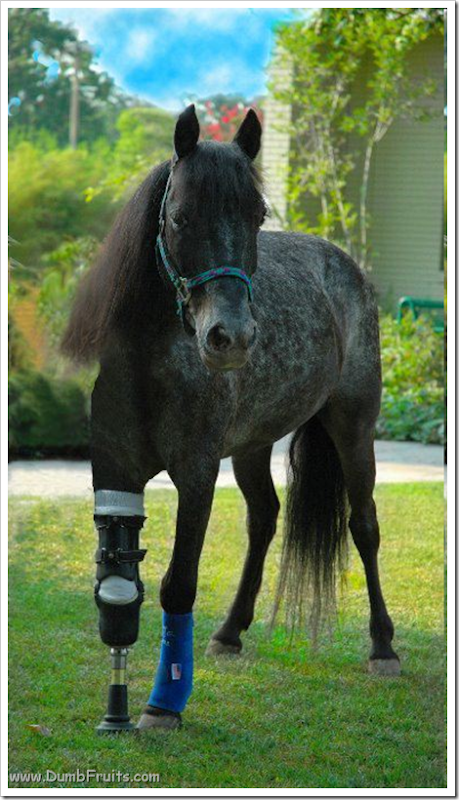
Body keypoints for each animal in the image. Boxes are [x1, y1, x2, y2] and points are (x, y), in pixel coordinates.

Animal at [63, 105, 400, 733]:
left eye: (257, 214)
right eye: (179, 215)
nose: (232, 338)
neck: (150, 357)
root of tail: (346, 266)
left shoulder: (196, 475)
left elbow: (178, 584)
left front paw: (163, 704)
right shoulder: (113, 472)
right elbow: (117, 581)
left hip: (354, 429)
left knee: (363, 526)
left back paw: (383, 647)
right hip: (251, 447)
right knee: (264, 518)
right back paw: (229, 632)